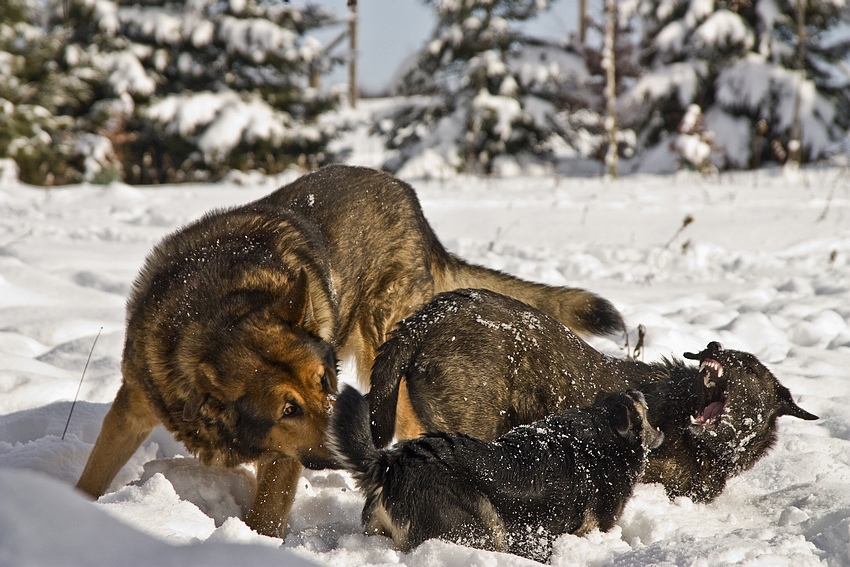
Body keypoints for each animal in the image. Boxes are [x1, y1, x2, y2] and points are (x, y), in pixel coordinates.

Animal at [76, 164, 624, 536]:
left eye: (324, 381)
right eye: (288, 409)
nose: (345, 434)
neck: (216, 313)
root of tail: (407, 196)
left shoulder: (284, 461)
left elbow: (263, 519)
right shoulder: (134, 404)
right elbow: (90, 478)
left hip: (388, 355)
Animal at [326, 386, 664, 564]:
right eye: (643, 410)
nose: (637, 390)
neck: (602, 429)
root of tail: (390, 462)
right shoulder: (598, 525)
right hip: (482, 527)